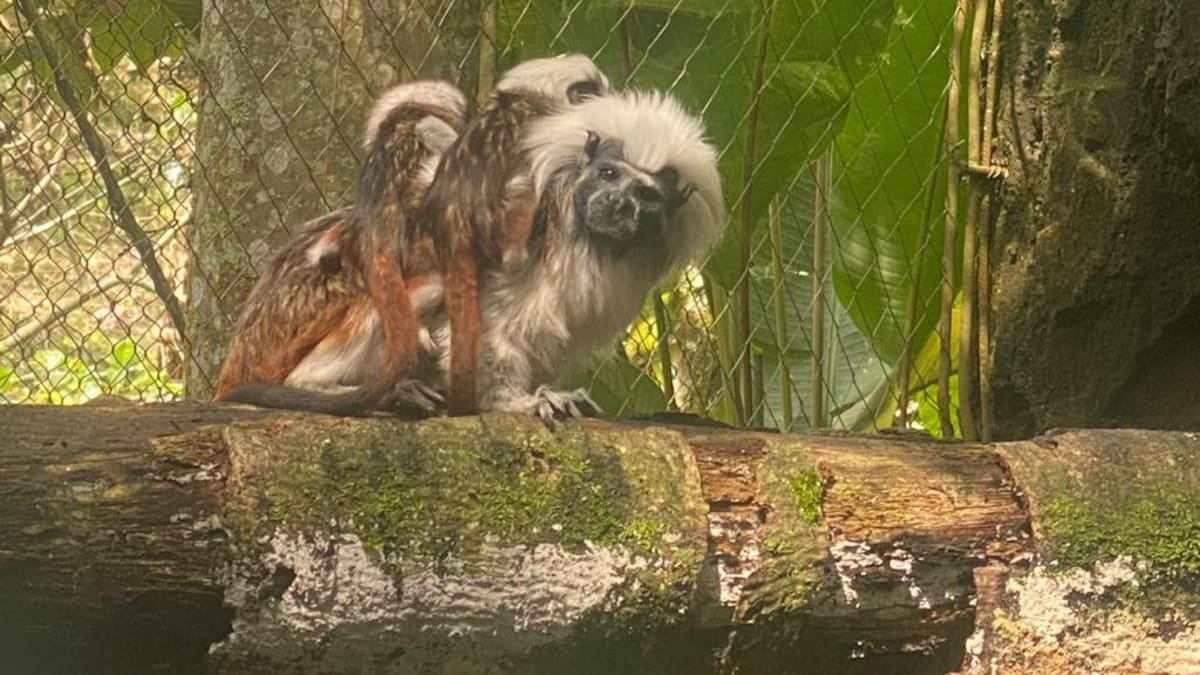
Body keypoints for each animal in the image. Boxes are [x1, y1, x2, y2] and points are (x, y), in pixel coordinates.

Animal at [418, 89, 725, 425]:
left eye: (645, 196)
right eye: (608, 174)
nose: (618, 203)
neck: (576, 239)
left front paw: (548, 393)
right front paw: (509, 400)